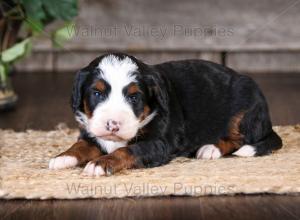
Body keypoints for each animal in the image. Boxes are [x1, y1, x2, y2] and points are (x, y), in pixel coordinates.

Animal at [48, 52, 282, 176]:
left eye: (134, 97)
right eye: (97, 93)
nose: (113, 124)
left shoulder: (160, 143)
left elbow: (127, 150)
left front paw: (100, 163)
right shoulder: (90, 132)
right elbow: (81, 145)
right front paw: (63, 157)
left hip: (244, 109)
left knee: (239, 138)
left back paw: (210, 149)